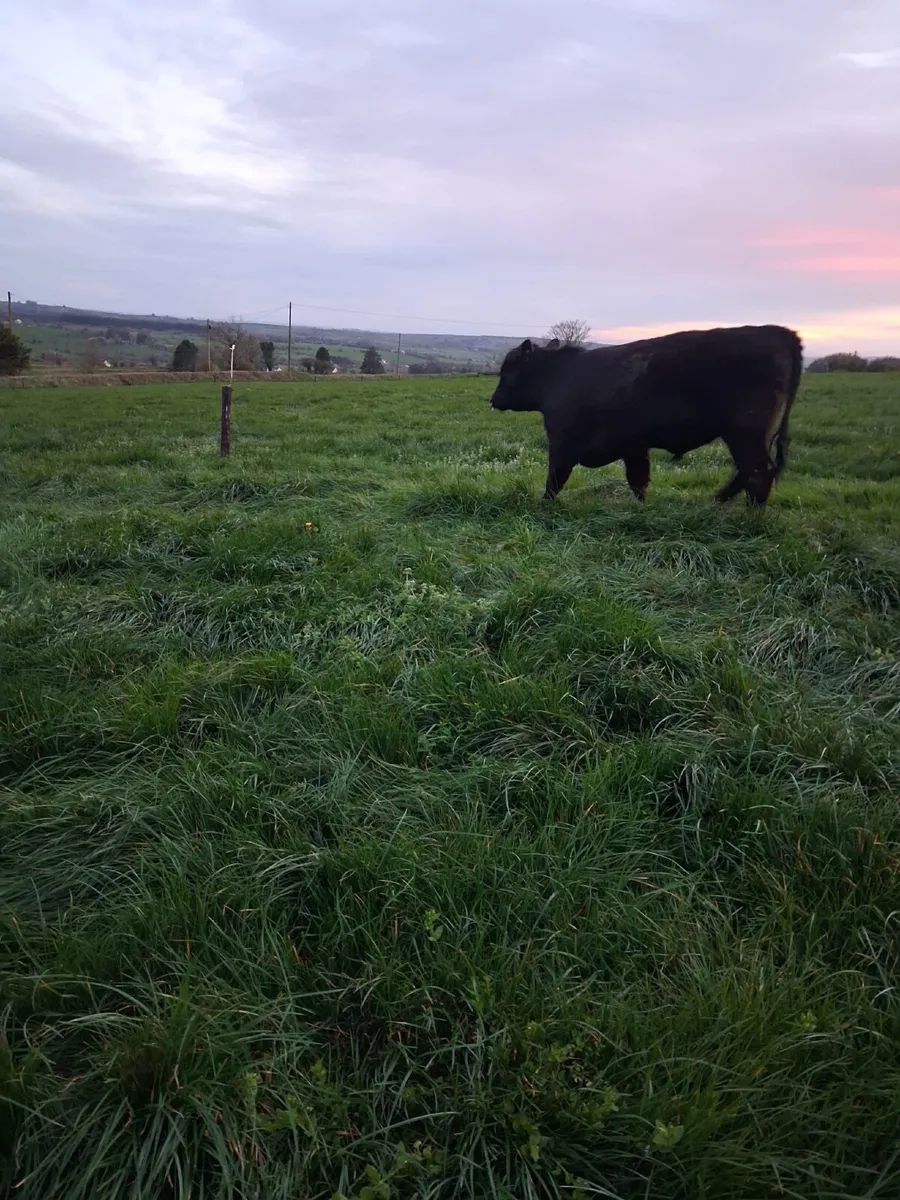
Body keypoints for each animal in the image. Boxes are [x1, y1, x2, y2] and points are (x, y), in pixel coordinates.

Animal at [489, 325, 803, 507]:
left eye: (508, 369)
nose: (493, 399)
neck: (558, 375)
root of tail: (782, 332)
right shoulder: (634, 447)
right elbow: (638, 480)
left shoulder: (562, 442)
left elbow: (555, 478)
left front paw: (543, 506)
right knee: (748, 473)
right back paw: (716, 502)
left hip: (744, 433)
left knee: (757, 473)